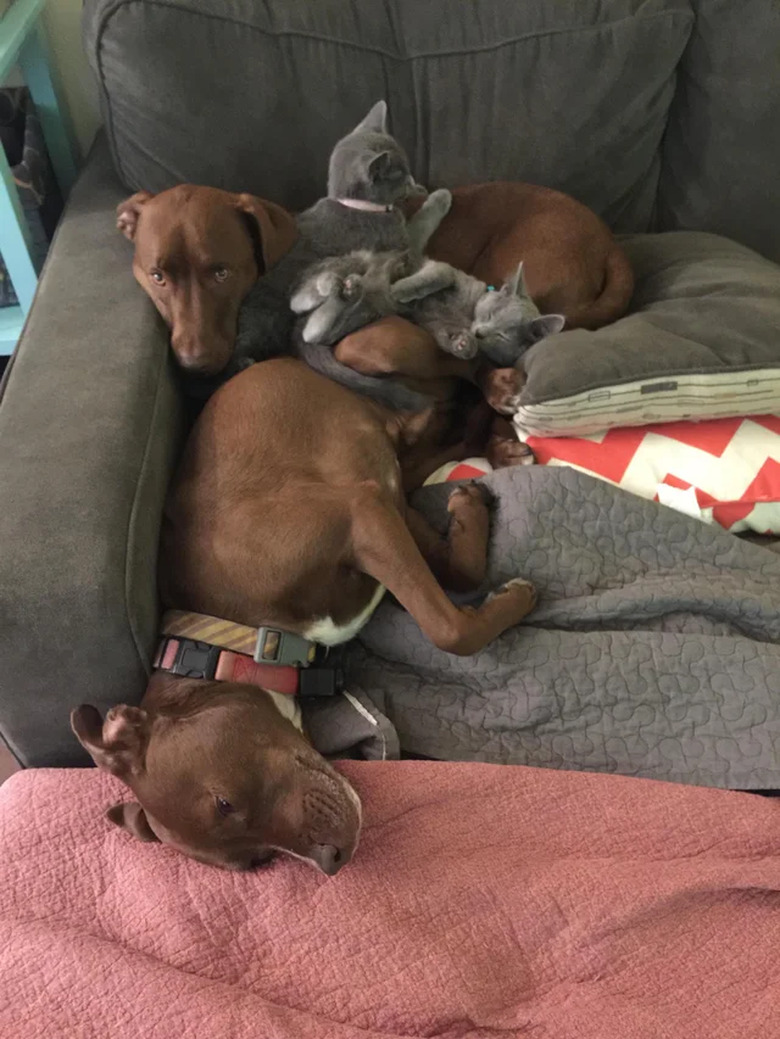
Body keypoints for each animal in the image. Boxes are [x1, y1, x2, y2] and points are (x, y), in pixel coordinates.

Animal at [71, 361, 535, 872]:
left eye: (224, 803)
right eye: (258, 861)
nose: (333, 860)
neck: (239, 635)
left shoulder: (363, 514)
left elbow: (448, 628)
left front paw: (512, 593)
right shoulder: (386, 510)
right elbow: (456, 573)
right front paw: (469, 516)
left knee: (450, 400)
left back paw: (499, 405)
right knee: (438, 441)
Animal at [228, 101, 450, 409]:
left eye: (408, 174)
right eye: (401, 177)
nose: (413, 180)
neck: (356, 206)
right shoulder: (403, 241)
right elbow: (420, 222)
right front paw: (439, 197)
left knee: (319, 326)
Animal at [292, 250, 569, 365]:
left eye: (502, 335)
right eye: (491, 314)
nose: (479, 333)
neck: (466, 315)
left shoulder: (435, 325)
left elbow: (446, 339)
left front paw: (464, 345)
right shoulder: (444, 269)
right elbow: (441, 273)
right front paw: (401, 290)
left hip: (358, 316)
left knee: (314, 331)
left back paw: (347, 291)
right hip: (355, 261)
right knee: (300, 298)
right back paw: (332, 284)